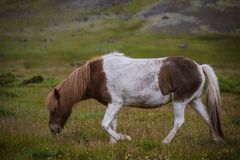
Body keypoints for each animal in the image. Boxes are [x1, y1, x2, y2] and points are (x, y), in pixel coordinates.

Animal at [45, 52, 223, 144]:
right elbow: (111, 124)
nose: (53, 130)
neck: (95, 76)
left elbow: (104, 124)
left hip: (180, 101)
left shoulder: (115, 103)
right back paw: (217, 140)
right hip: (194, 101)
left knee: (179, 122)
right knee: (208, 118)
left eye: (55, 108)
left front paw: (123, 138)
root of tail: (199, 67)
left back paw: (165, 142)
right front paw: (113, 144)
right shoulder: (112, 105)